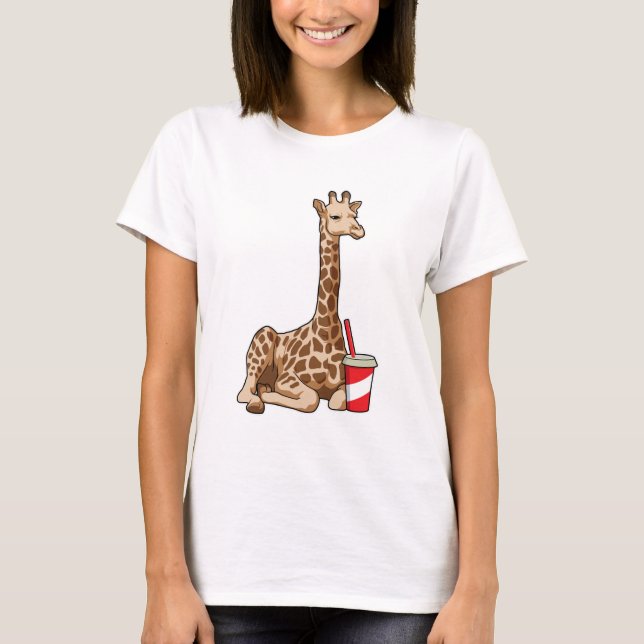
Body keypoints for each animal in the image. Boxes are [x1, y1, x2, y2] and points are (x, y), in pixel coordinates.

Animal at [237, 190, 365, 414]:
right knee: (244, 392)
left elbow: (337, 402)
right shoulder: (286, 378)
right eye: (334, 216)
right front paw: (266, 394)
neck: (326, 333)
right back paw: (256, 400)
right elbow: (311, 399)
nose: (360, 230)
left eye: (354, 215)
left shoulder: (342, 383)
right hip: (263, 335)